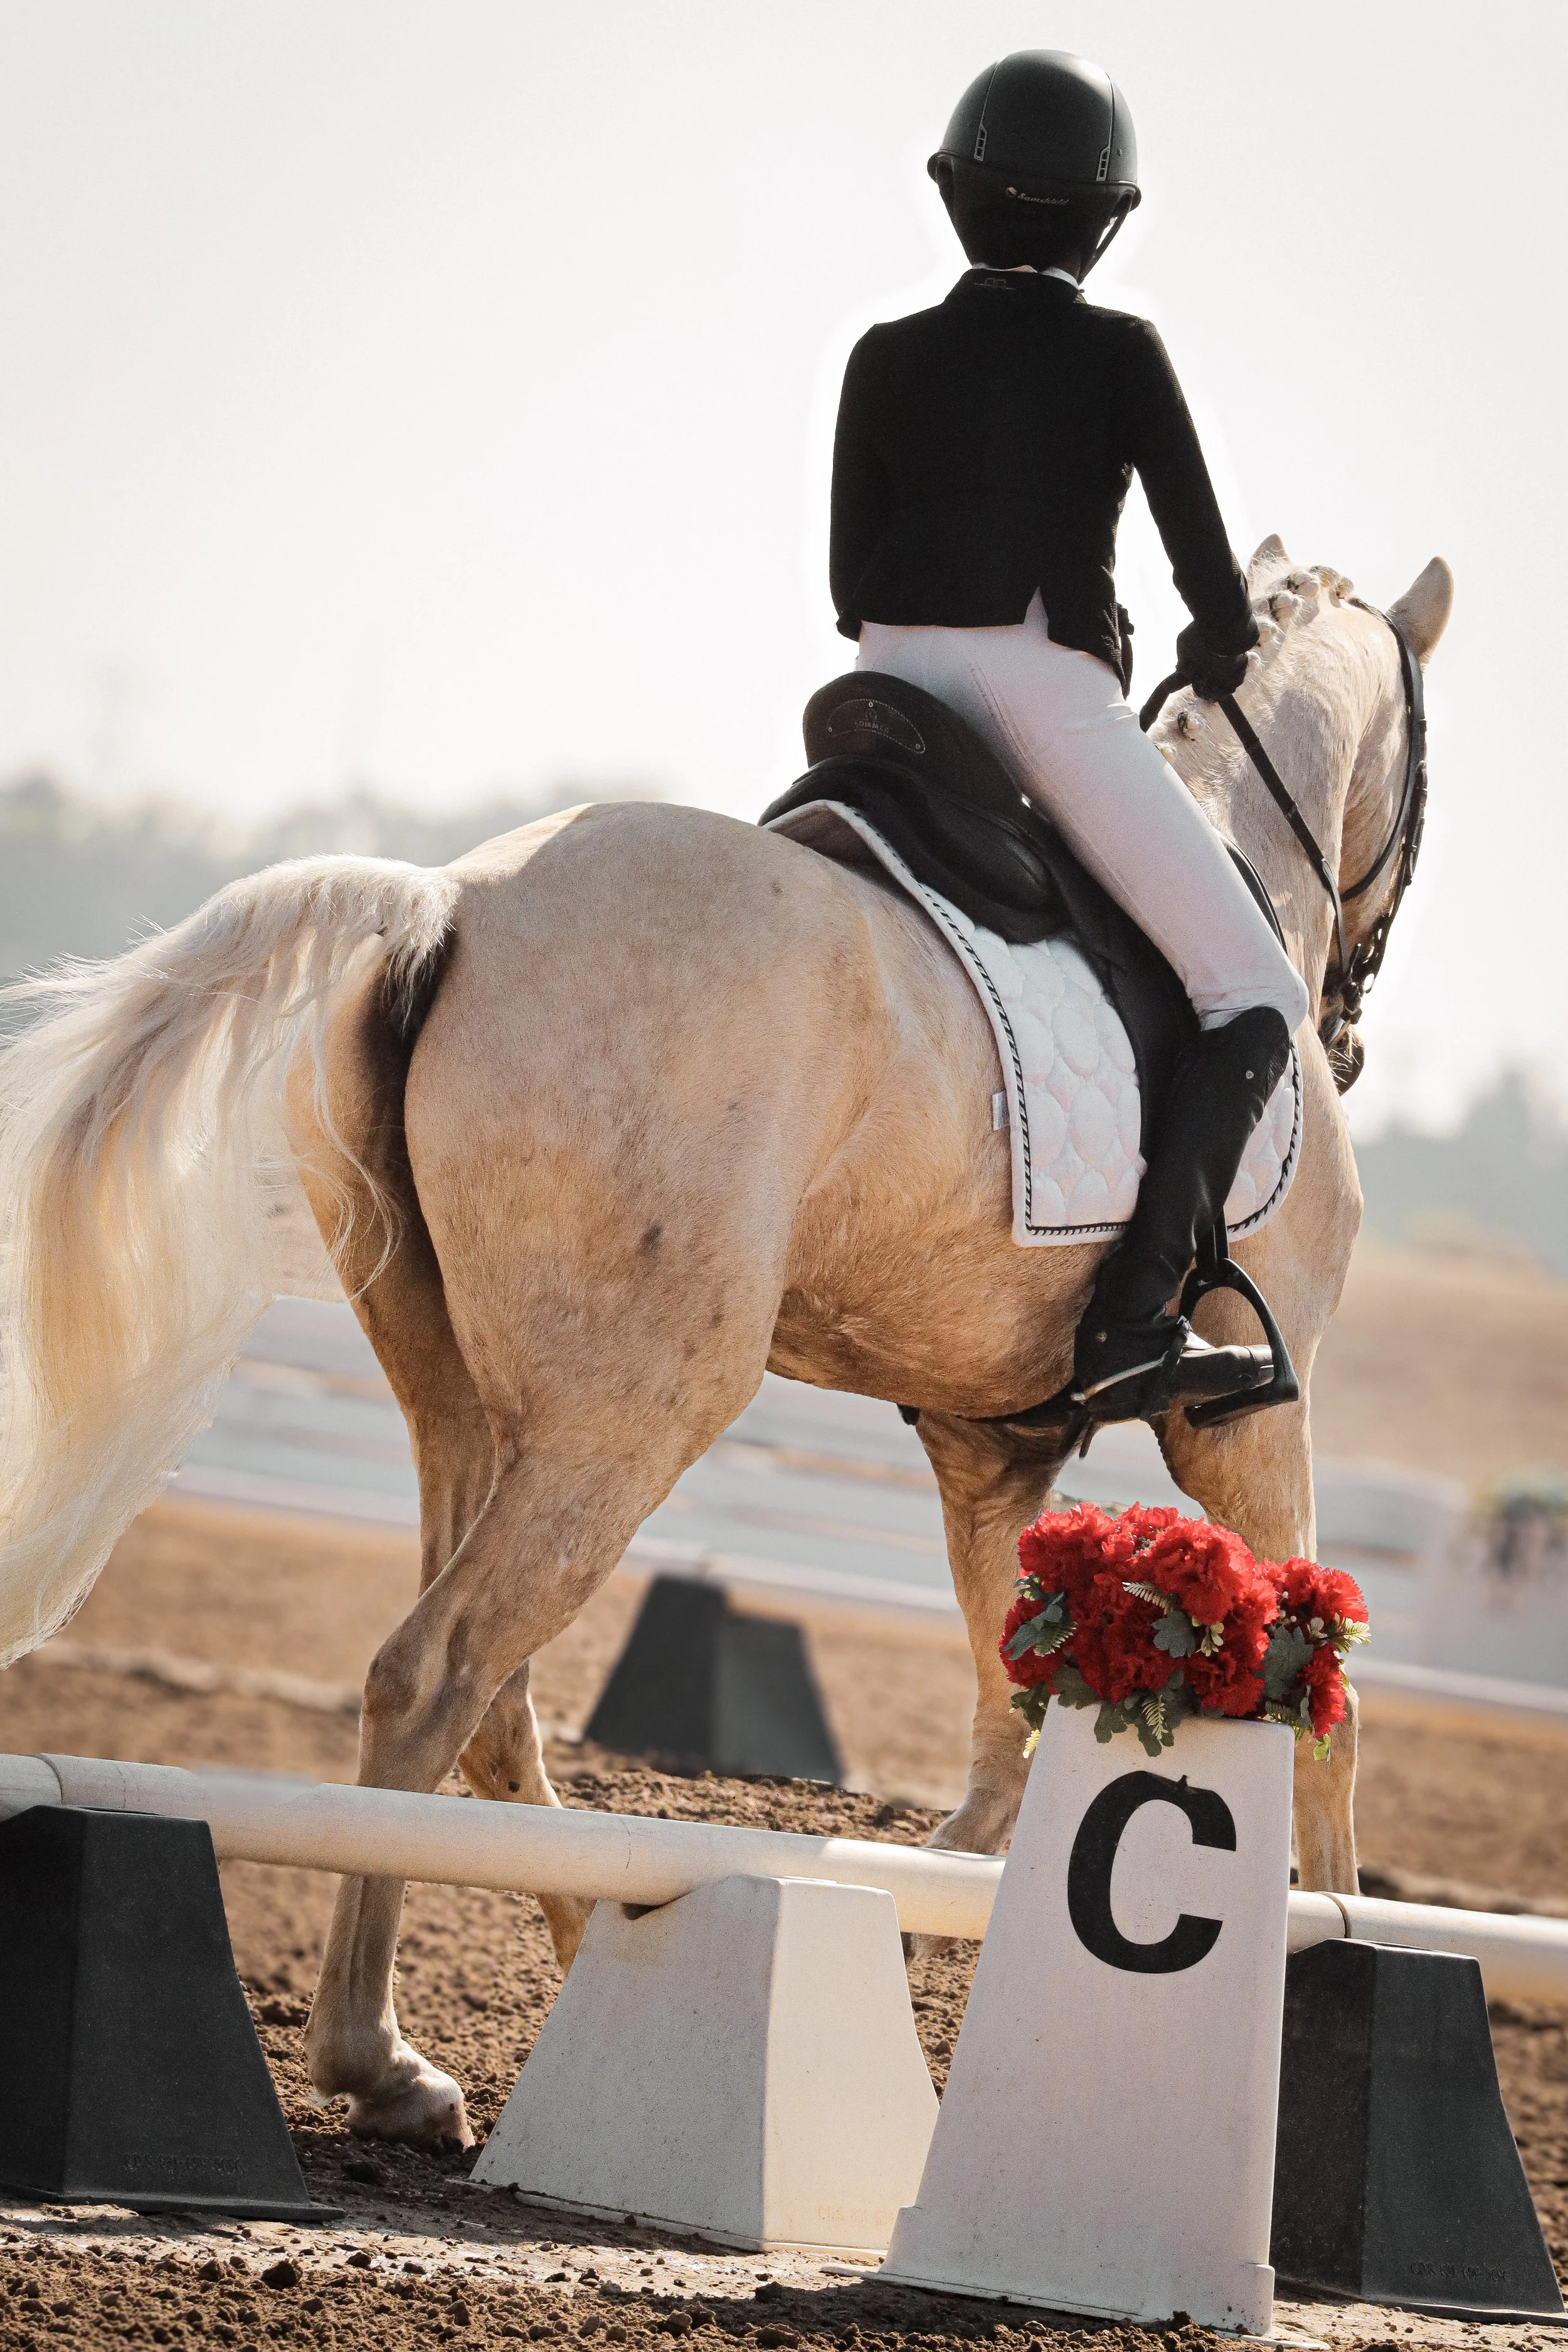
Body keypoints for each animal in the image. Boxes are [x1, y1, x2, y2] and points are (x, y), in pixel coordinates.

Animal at [0, 535, 1452, 2148]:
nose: (1350, 1035)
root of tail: (452, 901)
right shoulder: (1245, 1420)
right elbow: (1321, 1706)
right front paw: (1331, 1942)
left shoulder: (986, 1449)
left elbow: (1000, 1735)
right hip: (637, 1409)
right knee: (436, 1670)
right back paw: (381, 2057)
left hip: (472, 1404)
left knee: (488, 1696)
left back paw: (596, 1961)